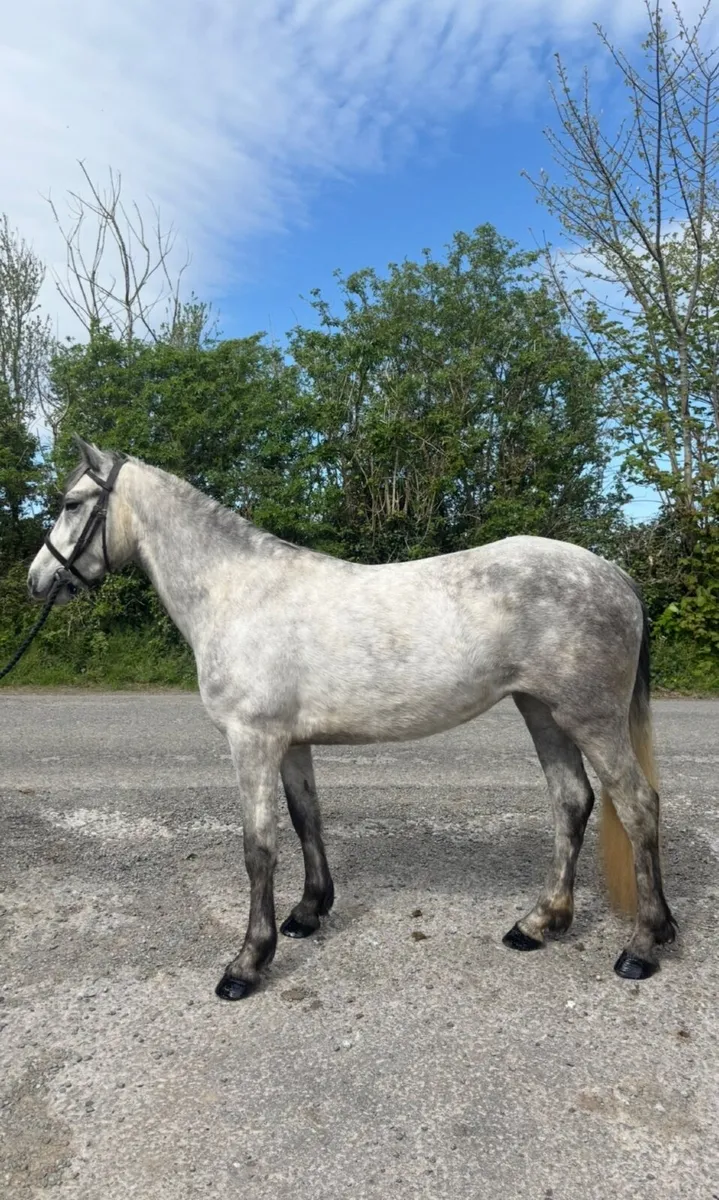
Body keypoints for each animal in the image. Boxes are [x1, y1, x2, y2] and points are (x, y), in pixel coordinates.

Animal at [27, 438, 676, 1000]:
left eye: (70, 504)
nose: (37, 581)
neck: (236, 593)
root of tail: (616, 576)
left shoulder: (252, 740)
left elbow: (258, 848)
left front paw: (248, 962)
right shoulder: (290, 743)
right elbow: (305, 819)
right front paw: (308, 912)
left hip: (590, 719)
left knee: (637, 806)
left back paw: (642, 947)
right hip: (542, 712)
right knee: (572, 801)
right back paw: (541, 924)